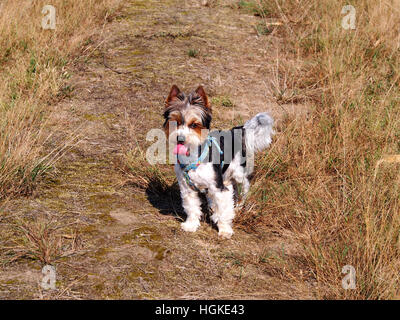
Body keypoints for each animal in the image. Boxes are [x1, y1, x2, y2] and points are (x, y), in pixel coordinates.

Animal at [163, 84, 276, 238]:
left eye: (194, 125)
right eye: (176, 122)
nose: (180, 138)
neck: (193, 157)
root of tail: (236, 131)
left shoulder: (219, 188)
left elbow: (223, 211)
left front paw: (225, 230)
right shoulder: (187, 189)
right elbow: (192, 208)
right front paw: (191, 225)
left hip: (239, 174)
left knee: (244, 189)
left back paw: (239, 206)